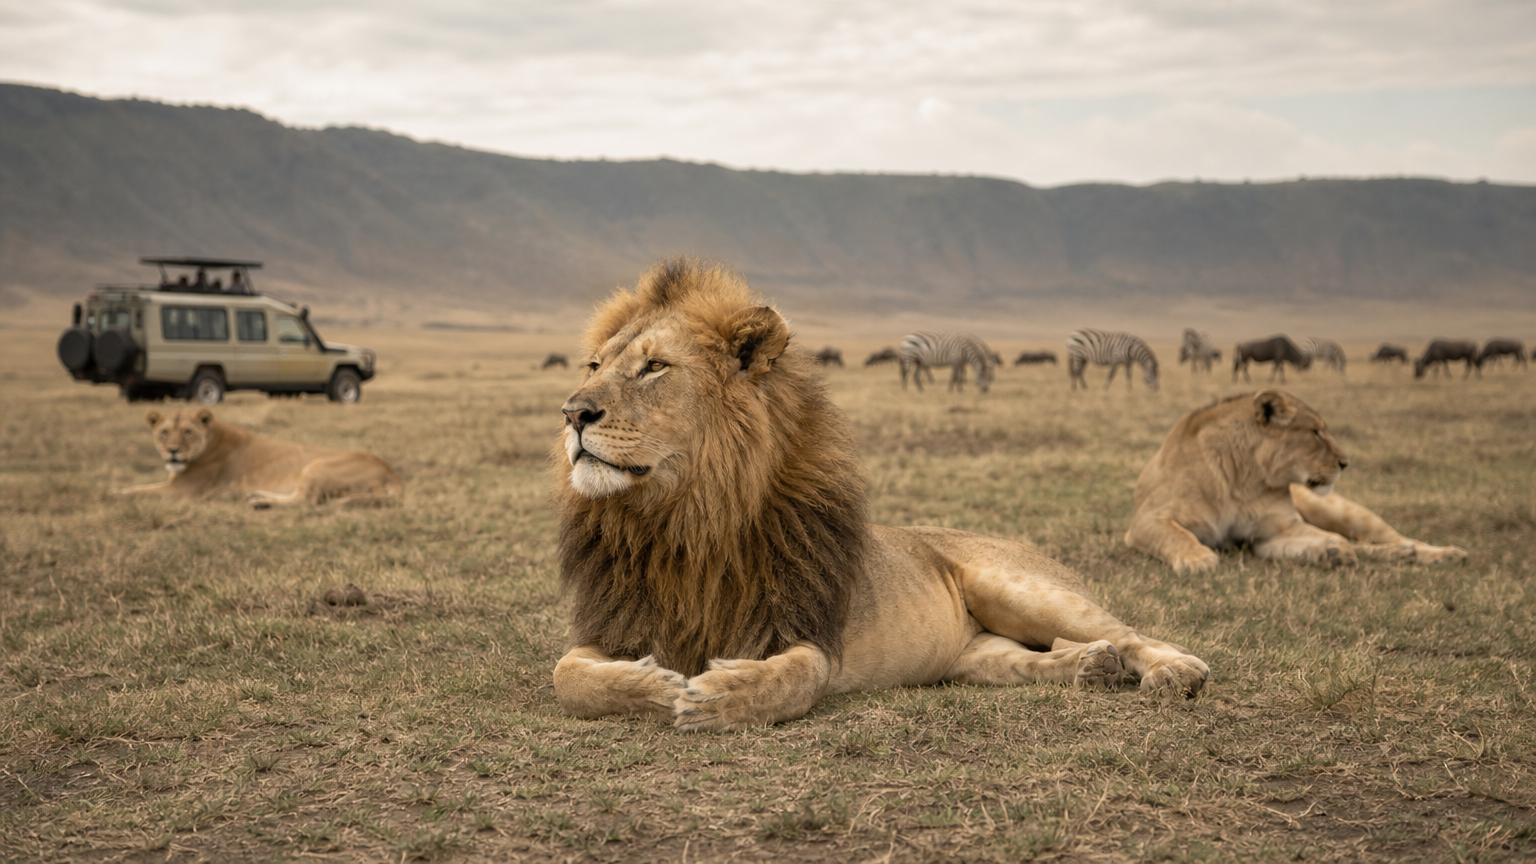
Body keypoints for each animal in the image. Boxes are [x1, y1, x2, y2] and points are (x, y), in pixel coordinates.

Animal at [119, 408, 403, 507]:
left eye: (188, 432)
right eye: (164, 432)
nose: (173, 450)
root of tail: (391, 472)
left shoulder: (184, 490)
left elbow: (138, 490)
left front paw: (114, 493)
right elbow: (140, 488)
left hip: (316, 465)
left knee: (307, 500)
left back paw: (260, 502)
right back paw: (255, 496)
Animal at [551, 259, 1209, 732]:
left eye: (655, 367)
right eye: (593, 365)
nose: (573, 413)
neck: (681, 518)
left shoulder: (804, 631)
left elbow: (793, 681)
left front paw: (717, 695)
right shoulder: (608, 629)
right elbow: (569, 678)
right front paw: (656, 684)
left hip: (1019, 588)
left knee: (1132, 633)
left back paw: (1178, 671)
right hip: (976, 657)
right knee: (1036, 657)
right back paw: (1090, 666)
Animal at [1125, 390, 1467, 572]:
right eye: (1315, 432)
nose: (1345, 463)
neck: (1243, 480)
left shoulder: (1279, 530)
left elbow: (1333, 538)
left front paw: (1333, 550)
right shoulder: (1146, 521)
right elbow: (1178, 535)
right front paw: (1197, 559)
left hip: (1338, 510)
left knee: (1387, 537)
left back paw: (1440, 553)